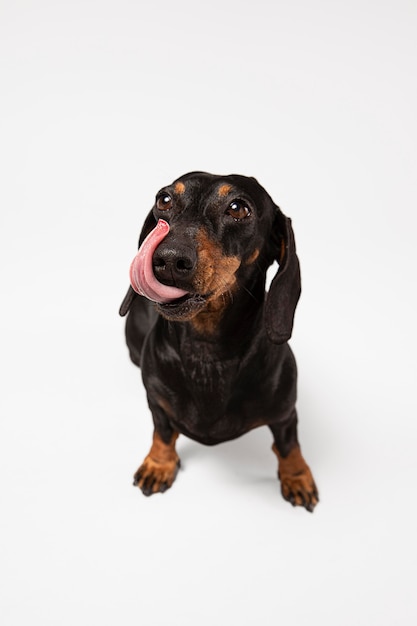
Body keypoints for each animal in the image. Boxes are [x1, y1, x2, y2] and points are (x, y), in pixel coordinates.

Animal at [120, 169, 318, 508]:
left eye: (238, 208)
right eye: (164, 199)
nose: (168, 259)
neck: (207, 352)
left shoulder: (285, 414)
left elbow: (289, 445)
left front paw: (297, 476)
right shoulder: (156, 403)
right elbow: (162, 431)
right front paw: (158, 464)